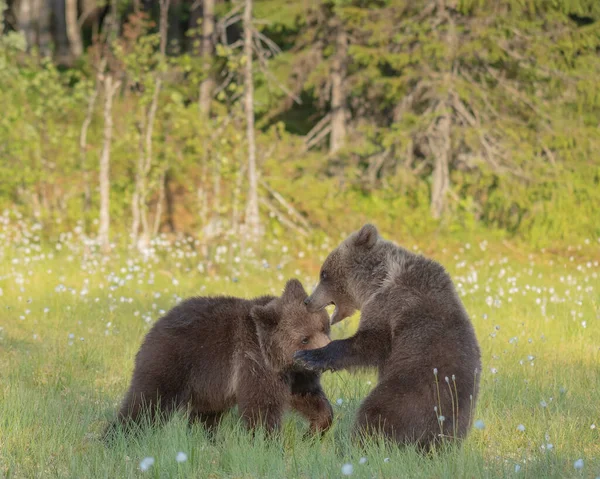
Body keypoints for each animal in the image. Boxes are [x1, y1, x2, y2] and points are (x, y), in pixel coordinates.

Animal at [106, 278, 332, 438]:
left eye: (323, 326)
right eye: (304, 338)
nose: (325, 355)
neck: (278, 359)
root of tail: (156, 324)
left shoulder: (296, 374)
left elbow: (310, 398)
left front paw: (314, 430)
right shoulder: (254, 363)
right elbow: (262, 408)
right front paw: (267, 442)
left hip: (209, 386)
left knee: (206, 416)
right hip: (172, 360)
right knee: (148, 402)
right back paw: (117, 436)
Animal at [296, 225, 482, 450]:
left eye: (324, 274)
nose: (308, 301)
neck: (377, 281)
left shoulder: (390, 306)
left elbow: (369, 343)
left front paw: (308, 357)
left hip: (408, 392)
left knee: (375, 412)